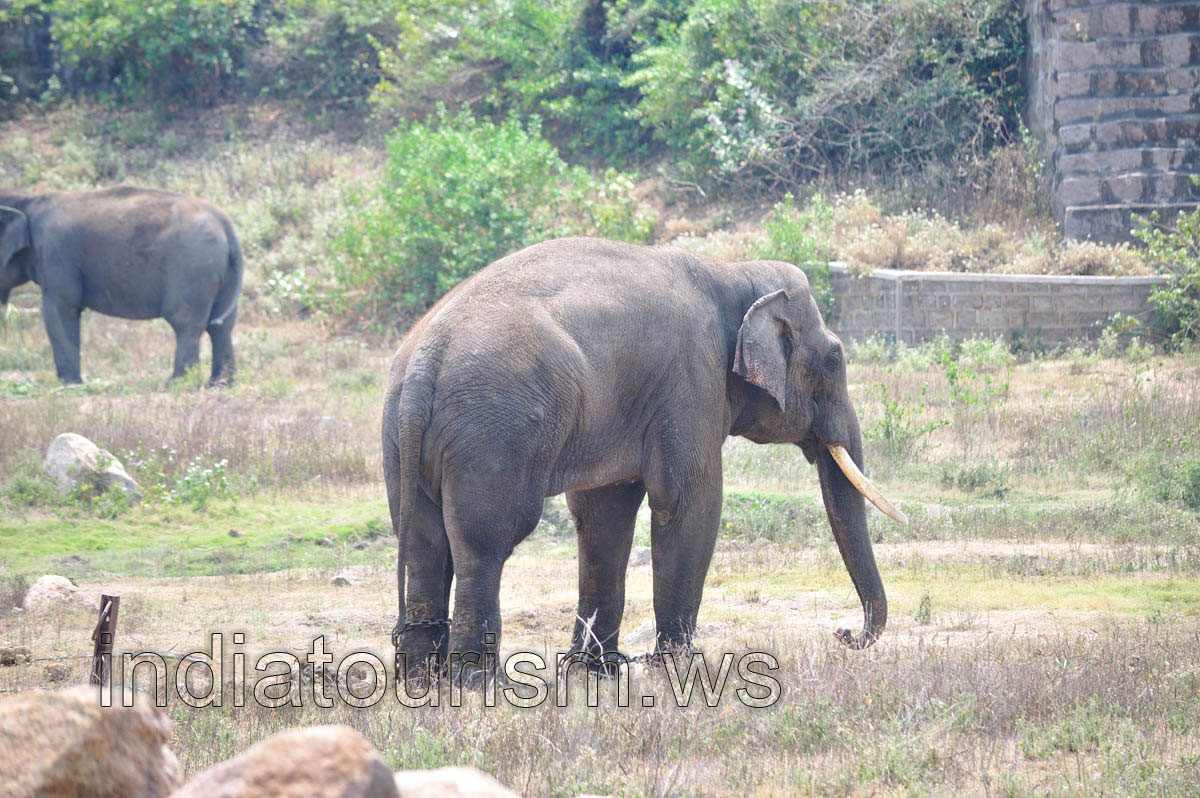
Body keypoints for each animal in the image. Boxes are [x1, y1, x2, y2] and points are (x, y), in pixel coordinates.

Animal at [0, 186, 243, 385]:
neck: (28, 199)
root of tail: (225, 224)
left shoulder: (55, 255)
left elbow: (60, 310)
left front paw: (69, 384)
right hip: (220, 272)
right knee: (220, 324)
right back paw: (220, 384)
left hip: (192, 268)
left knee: (186, 322)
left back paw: (177, 383)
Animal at [382, 237, 908, 676]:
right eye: (834, 360)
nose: (844, 632)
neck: (732, 271)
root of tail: (425, 362)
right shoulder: (691, 383)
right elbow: (691, 504)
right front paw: (672, 668)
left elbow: (603, 513)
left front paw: (595, 673)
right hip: (496, 432)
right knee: (484, 543)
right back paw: (476, 684)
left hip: (405, 441)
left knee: (426, 543)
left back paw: (423, 682)